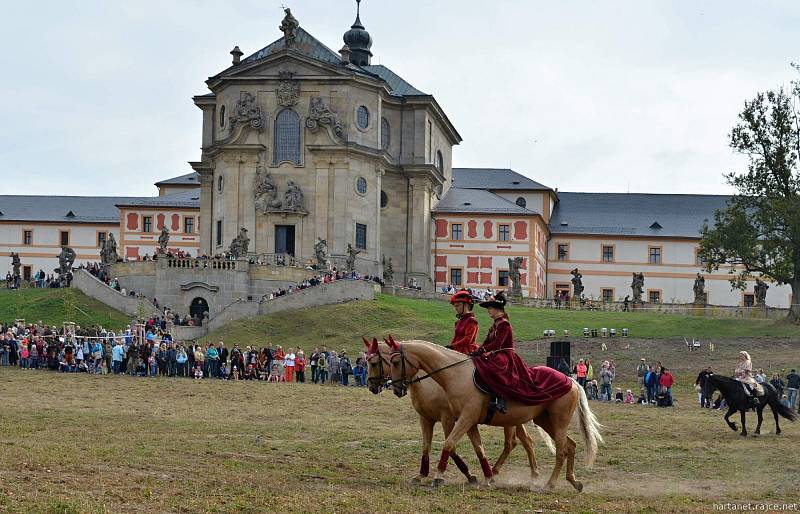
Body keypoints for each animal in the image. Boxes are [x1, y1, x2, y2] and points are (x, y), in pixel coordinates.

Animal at [366, 338, 552, 482]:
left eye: (375, 363)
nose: (372, 387)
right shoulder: (426, 419)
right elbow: (426, 446)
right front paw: (421, 475)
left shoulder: (449, 418)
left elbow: (451, 446)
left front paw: (467, 475)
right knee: (523, 441)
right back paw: (525, 473)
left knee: (514, 442)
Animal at [386, 336, 600, 488]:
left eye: (395, 362)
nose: (396, 388)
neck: (456, 375)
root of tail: (570, 380)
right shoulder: (467, 421)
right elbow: (479, 449)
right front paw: (487, 477)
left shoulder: (462, 419)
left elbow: (448, 444)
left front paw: (438, 477)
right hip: (545, 421)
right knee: (569, 446)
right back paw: (573, 481)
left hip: (558, 422)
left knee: (561, 450)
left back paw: (550, 483)